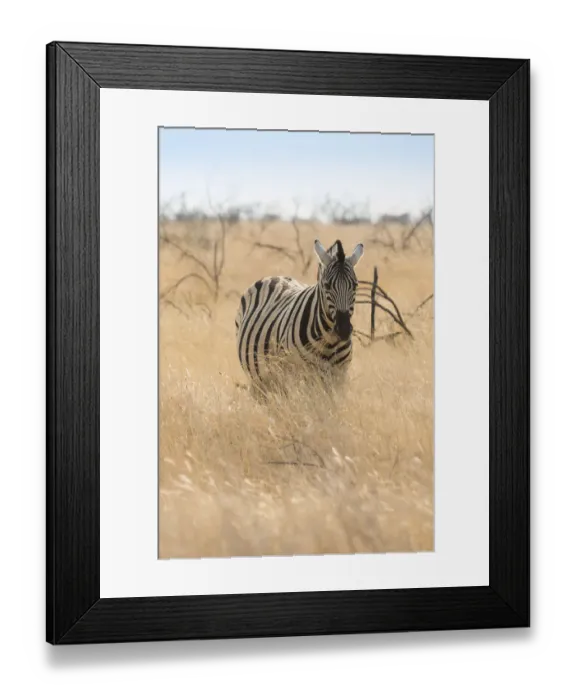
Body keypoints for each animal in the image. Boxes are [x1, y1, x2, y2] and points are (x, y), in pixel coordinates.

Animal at [235, 238, 364, 394]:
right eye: (327, 286)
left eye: (355, 286)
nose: (344, 330)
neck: (329, 341)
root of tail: (275, 277)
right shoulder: (298, 373)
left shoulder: (339, 375)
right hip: (261, 377)